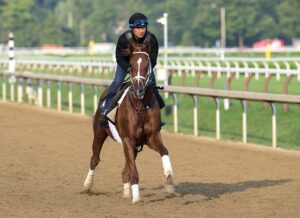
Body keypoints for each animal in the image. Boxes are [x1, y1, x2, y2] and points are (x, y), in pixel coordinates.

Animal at [83, 40, 175, 203]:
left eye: (147, 64)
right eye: (131, 65)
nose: (139, 89)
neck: (140, 106)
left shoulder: (150, 137)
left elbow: (164, 151)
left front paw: (169, 180)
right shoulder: (128, 139)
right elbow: (133, 171)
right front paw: (136, 197)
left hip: (135, 146)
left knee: (125, 169)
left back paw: (126, 192)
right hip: (99, 133)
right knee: (95, 159)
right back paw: (87, 185)